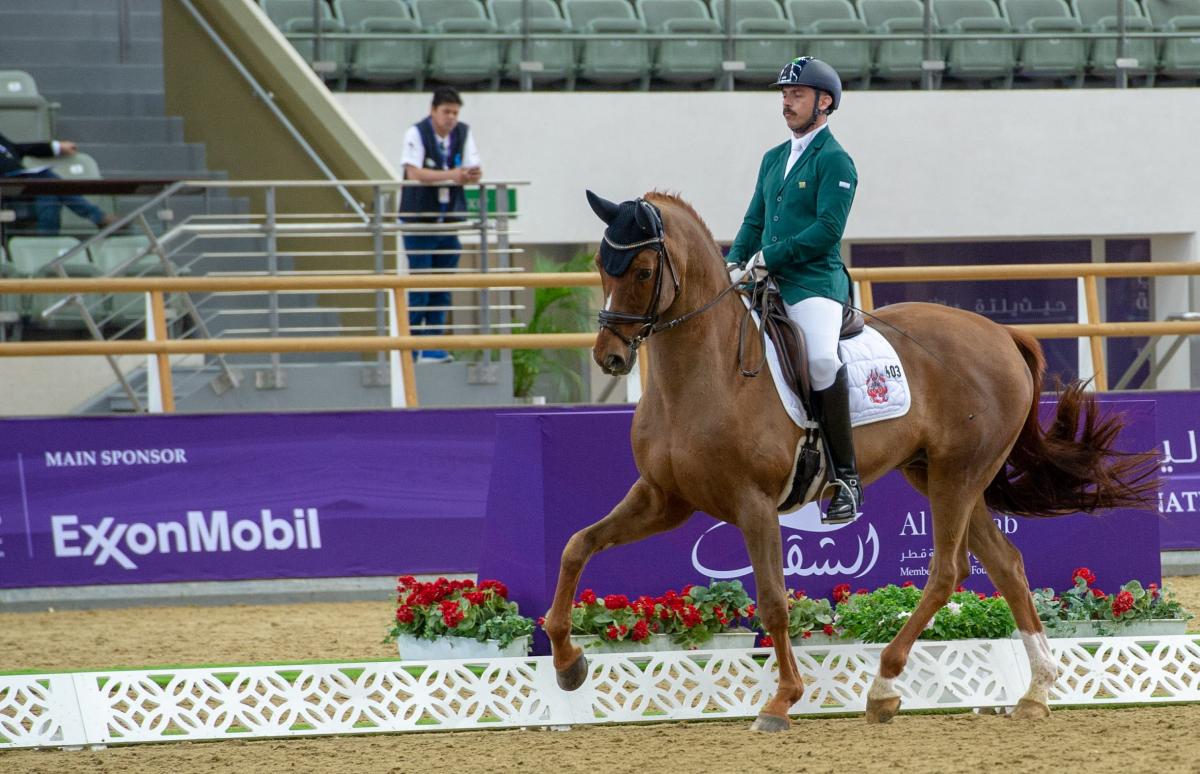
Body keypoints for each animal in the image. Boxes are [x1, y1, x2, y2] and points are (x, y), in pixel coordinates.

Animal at [540, 192, 1156, 729]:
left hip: (957, 476)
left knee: (947, 571)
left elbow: (773, 602)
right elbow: (576, 545)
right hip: (940, 474)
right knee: (1005, 564)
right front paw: (568, 663)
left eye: (644, 271)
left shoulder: (753, 504)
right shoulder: (664, 498)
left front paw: (781, 702)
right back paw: (1035, 691)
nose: (611, 358)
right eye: (600, 265)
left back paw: (884, 685)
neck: (702, 374)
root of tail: (1001, 333)